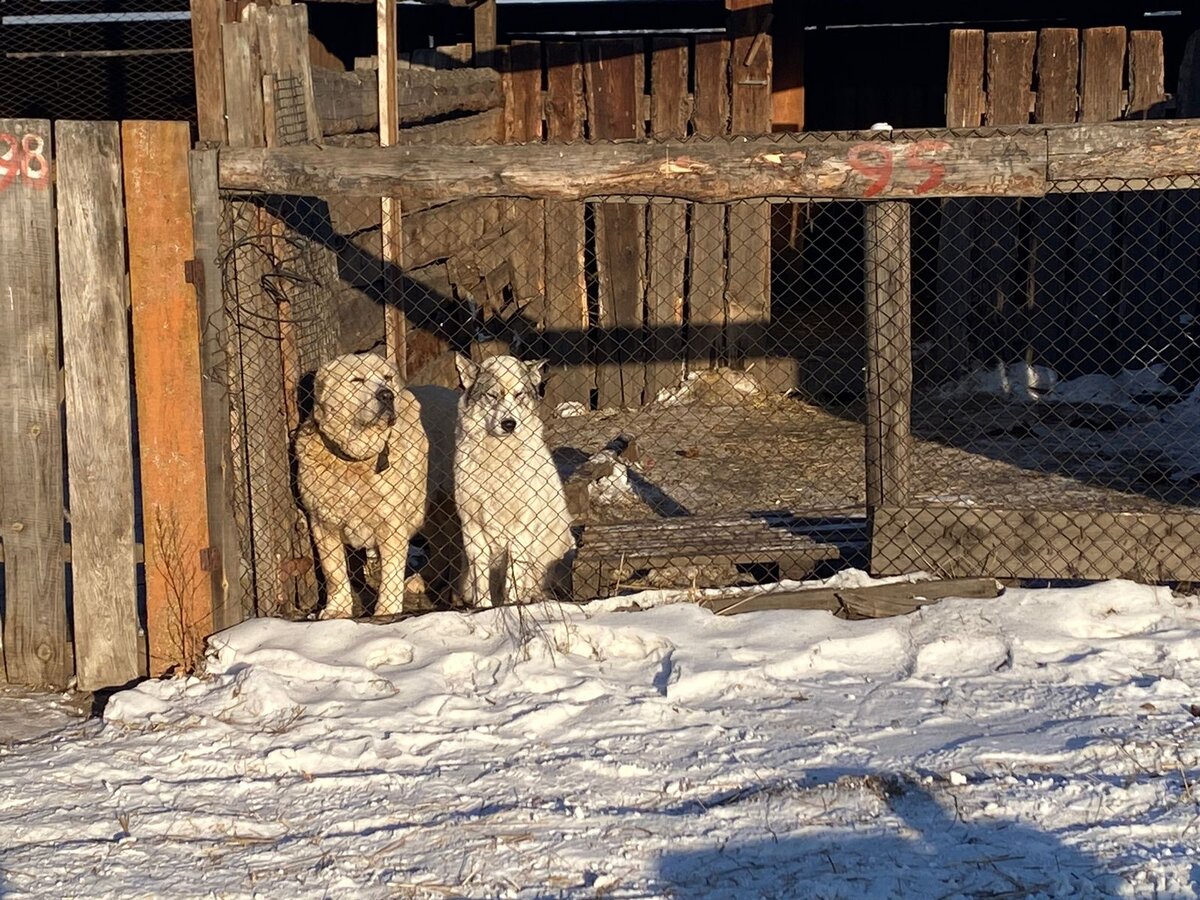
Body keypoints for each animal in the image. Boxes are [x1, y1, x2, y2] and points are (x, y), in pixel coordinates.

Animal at [295, 352, 432, 619]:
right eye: (356, 379)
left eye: (387, 377)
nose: (386, 394)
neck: (356, 462)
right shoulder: (322, 522)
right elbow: (334, 571)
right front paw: (336, 609)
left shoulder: (392, 523)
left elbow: (391, 572)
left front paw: (386, 611)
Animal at [453, 352, 576, 607]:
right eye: (492, 395)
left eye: (519, 394)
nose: (509, 424)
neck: (498, 458)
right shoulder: (473, 530)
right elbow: (482, 586)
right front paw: (484, 609)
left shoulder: (520, 531)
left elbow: (513, 580)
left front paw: (512, 606)